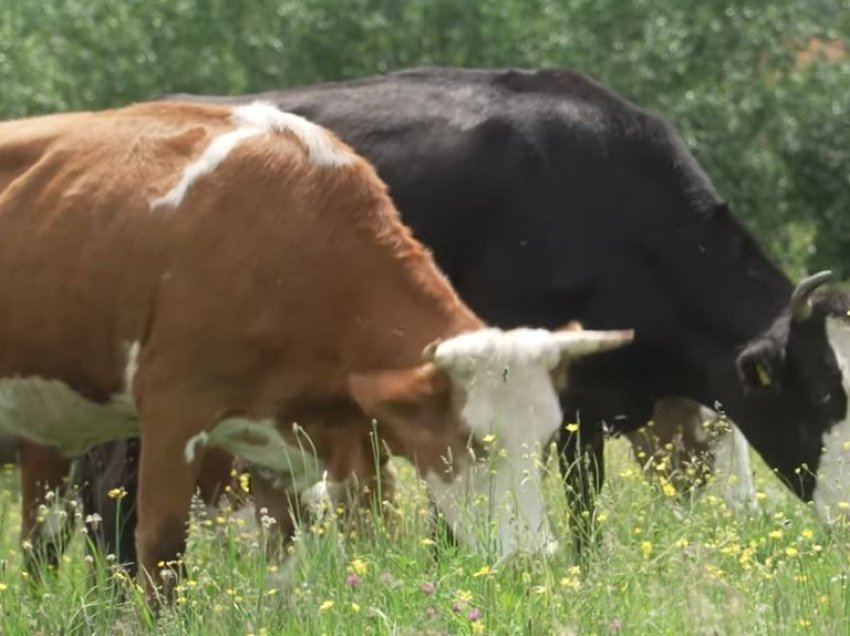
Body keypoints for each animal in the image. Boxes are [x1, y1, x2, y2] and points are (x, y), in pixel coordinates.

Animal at [0, 102, 628, 600]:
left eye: (545, 440)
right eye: (470, 442)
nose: (533, 559)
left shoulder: (292, 448)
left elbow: (291, 564)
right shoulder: (174, 410)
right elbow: (161, 547)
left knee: (39, 541)